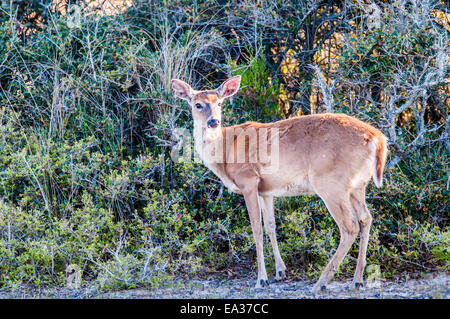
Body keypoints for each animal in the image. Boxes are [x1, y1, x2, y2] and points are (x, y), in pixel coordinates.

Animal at [171, 75, 388, 296]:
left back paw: (321, 282)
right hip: (357, 185)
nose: (214, 121)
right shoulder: (266, 191)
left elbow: (256, 229)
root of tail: (378, 139)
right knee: (365, 218)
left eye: (220, 103)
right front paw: (280, 272)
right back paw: (357, 280)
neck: (226, 151)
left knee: (350, 226)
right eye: (197, 104)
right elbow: (270, 226)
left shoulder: (248, 180)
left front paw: (261, 279)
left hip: (330, 182)